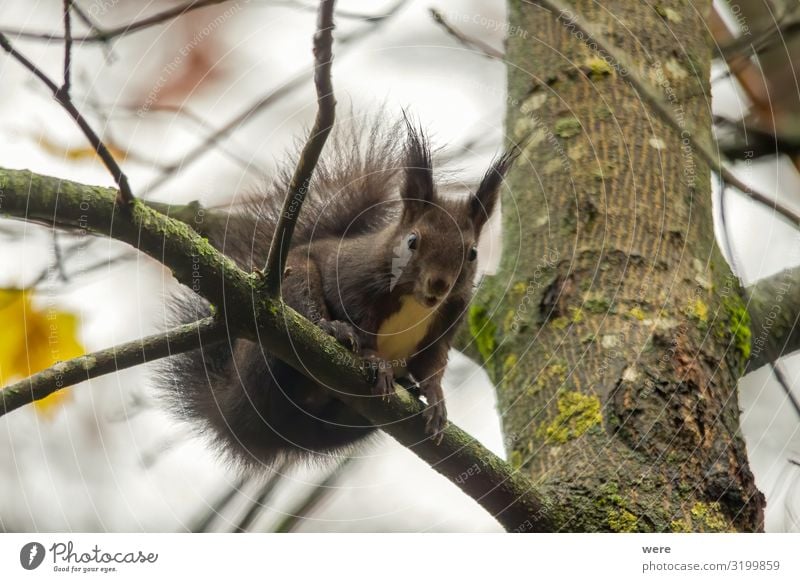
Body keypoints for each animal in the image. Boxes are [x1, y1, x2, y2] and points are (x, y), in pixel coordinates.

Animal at [159, 115, 520, 470]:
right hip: (289, 294)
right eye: (412, 241)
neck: (416, 302)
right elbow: (361, 324)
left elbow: (433, 364)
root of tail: (231, 405)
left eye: (473, 253)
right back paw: (333, 330)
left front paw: (435, 398)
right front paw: (374, 360)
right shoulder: (354, 283)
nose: (439, 284)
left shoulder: (449, 319)